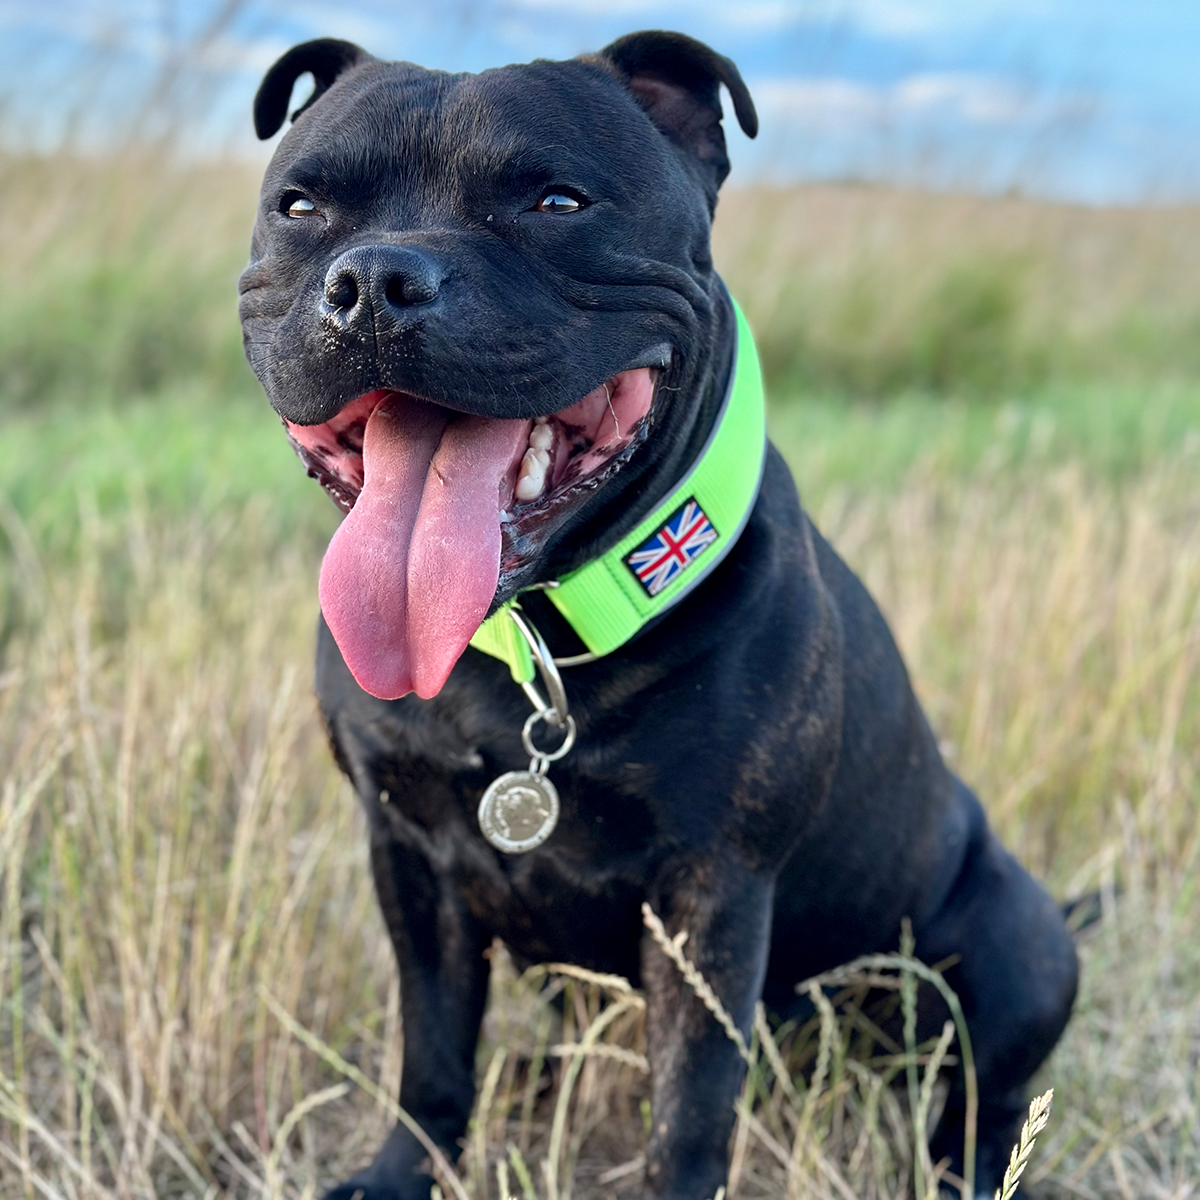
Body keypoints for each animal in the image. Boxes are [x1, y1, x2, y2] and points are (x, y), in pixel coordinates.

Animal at [236, 35, 1080, 1200]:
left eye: (556, 200)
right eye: (303, 206)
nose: (374, 283)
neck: (533, 647)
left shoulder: (713, 895)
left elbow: (689, 1107)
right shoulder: (407, 856)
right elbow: (432, 1045)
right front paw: (403, 1172)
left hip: (1018, 941)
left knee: (983, 1094)